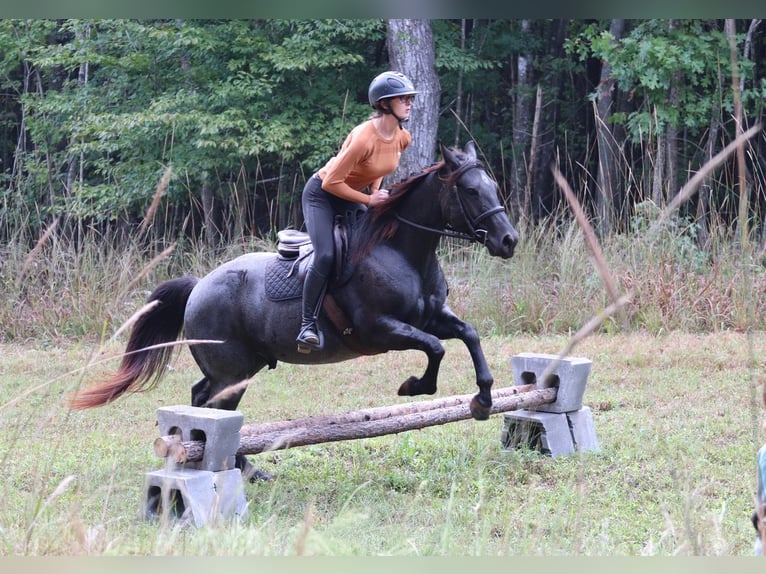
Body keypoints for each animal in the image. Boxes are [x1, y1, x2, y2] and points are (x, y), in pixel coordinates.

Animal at [69, 143, 520, 482]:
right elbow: (435, 350)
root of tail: (198, 286)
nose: (509, 240)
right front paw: (415, 386)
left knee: (205, 399)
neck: (402, 250)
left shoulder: (431, 318)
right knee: (217, 407)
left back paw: (243, 467)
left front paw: (482, 400)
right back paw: (236, 466)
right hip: (233, 370)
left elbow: (469, 334)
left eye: (494, 186)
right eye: (471, 191)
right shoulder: (381, 330)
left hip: (236, 366)